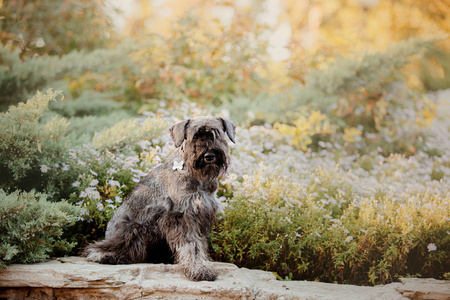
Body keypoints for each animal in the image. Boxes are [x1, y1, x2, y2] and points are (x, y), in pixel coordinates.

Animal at [84, 115, 237, 282]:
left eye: (218, 135)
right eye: (195, 136)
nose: (209, 156)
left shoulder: (201, 215)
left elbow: (198, 245)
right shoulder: (182, 217)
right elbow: (192, 245)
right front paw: (198, 269)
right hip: (133, 229)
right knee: (99, 249)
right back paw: (108, 256)